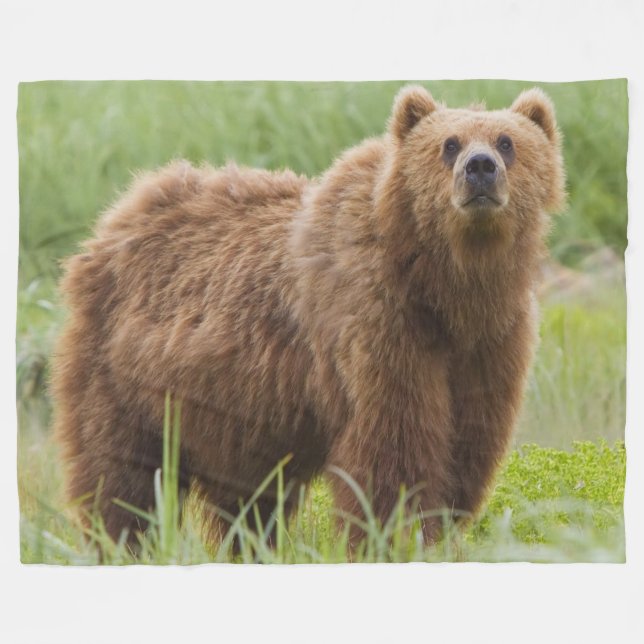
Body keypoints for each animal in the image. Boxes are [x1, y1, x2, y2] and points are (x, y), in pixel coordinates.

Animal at [52, 85, 565, 551]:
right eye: (450, 144)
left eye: (506, 141)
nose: (480, 169)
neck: (446, 289)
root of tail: (118, 216)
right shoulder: (378, 325)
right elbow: (393, 449)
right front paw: (394, 535)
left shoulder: (490, 344)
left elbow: (466, 446)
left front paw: (437, 532)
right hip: (125, 374)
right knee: (123, 474)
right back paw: (122, 543)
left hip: (234, 410)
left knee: (247, 497)